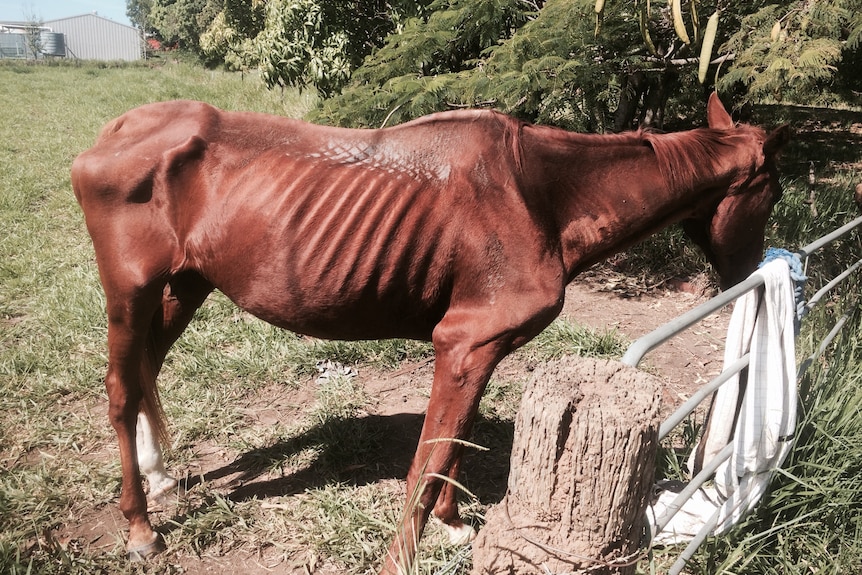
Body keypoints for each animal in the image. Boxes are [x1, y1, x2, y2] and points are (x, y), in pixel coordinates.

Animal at [72, 92, 788, 572]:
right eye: (774, 194)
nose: (749, 272)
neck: (542, 196)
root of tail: (113, 131)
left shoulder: (482, 350)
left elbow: (456, 441)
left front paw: (451, 522)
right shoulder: (464, 343)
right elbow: (429, 456)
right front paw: (406, 553)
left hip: (184, 286)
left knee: (145, 374)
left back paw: (160, 479)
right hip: (130, 293)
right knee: (120, 388)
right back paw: (140, 527)